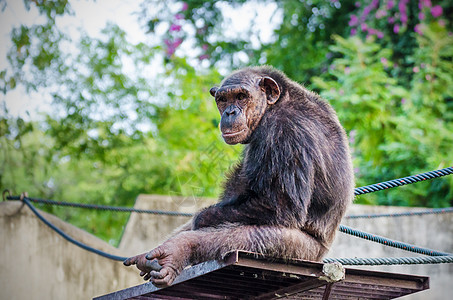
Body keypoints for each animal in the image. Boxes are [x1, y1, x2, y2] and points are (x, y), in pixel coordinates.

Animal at [123, 65, 354, 286]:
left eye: (242, 96)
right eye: (223, 99)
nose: (230, 112)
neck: (275, 105)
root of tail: (322, 253)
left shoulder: (285, 133)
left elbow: (281, 205)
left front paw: (200, 219)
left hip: (298, 249)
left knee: (242, 236)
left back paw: (178, 250)